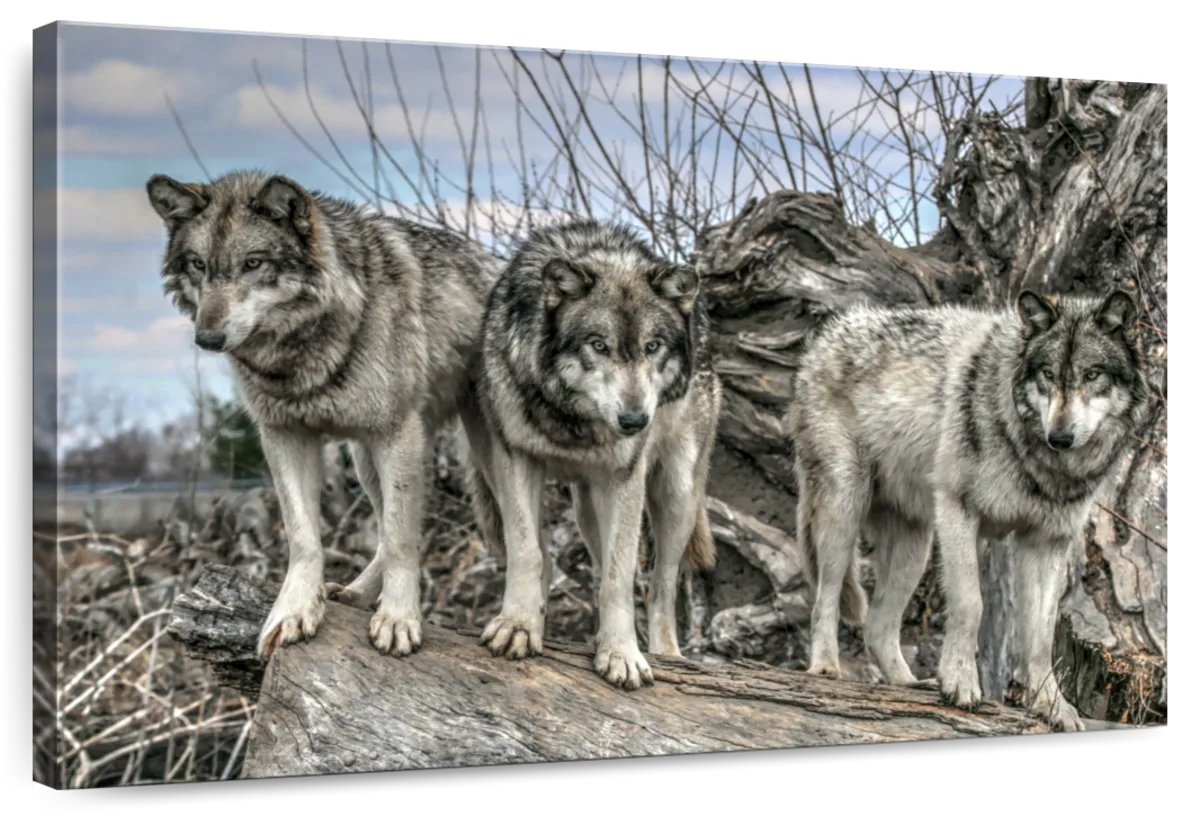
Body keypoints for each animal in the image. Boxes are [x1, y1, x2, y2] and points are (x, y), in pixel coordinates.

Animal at [145, 170, 504, 662]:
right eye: (198, 264)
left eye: (253, 263)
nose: (208, 338)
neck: (303, 352)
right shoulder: (283, 435)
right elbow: (304, 537)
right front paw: (295, 611)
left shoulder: (396, 434)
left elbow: (400, 539)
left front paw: (398, 618)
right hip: (366, 460)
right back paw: (354, 593)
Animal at [458, 220, 722, 690]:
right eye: (599, 345)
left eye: (653, 346)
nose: (635, 420)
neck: (572, 420)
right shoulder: (516, 459)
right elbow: (528, 552)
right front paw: (520, 624)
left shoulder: (625, 477)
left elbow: (620, 578)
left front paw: (621, 654)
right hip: (579, 505)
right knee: (579, 563)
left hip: (675, 494)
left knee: (661, 585)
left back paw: (666, 653)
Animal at [787, 288, 1148, 731]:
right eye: (1048, 374)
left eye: (1093, 374)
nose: (1060, 437)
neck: (1039, 461)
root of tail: (823, 339)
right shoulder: (959, 511)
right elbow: (970, 604)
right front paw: (959, 683)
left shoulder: (1047, 542)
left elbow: (1041, 637)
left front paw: (1052, 706)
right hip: (844, 513)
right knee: (825, 598)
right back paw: (825, 668)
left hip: (916, 547)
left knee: (877, 627)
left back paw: (910, 685)